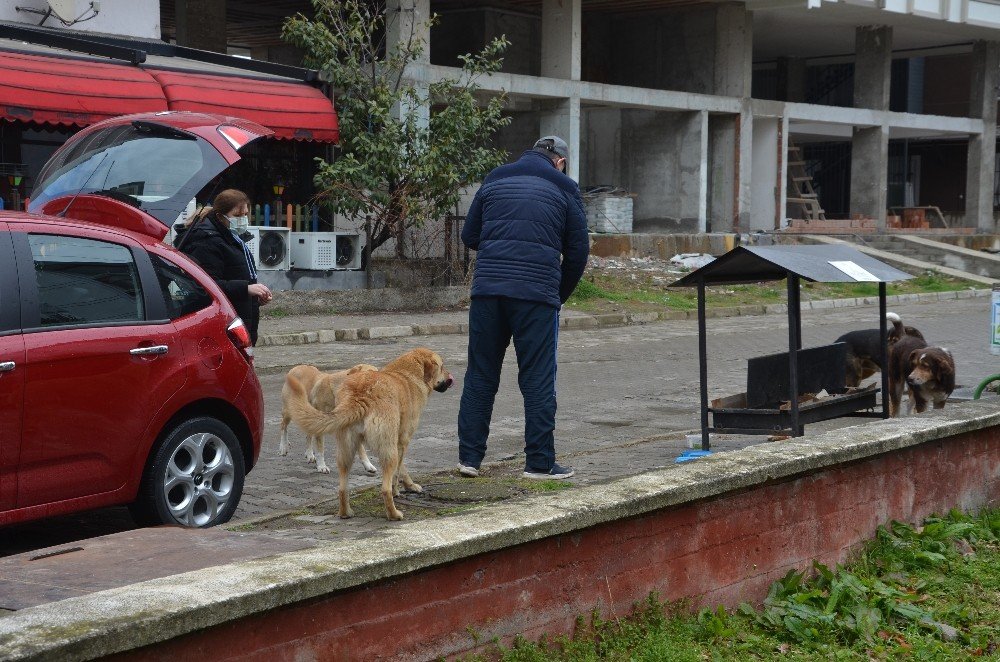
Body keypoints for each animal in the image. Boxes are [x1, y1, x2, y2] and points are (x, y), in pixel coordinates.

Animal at [284, 350, 452, 520]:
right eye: (442, 366)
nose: (450, 378)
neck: (408, 374)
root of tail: (360, 395)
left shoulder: (397, 443)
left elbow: (402, 469)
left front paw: (410, 485)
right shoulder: (402, 442)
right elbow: (397, 474)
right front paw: (399, 491)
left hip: (346, 451)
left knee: (342, 488)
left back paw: (345, 512)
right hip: (387, 452)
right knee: (385, 489)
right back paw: (393, 514)